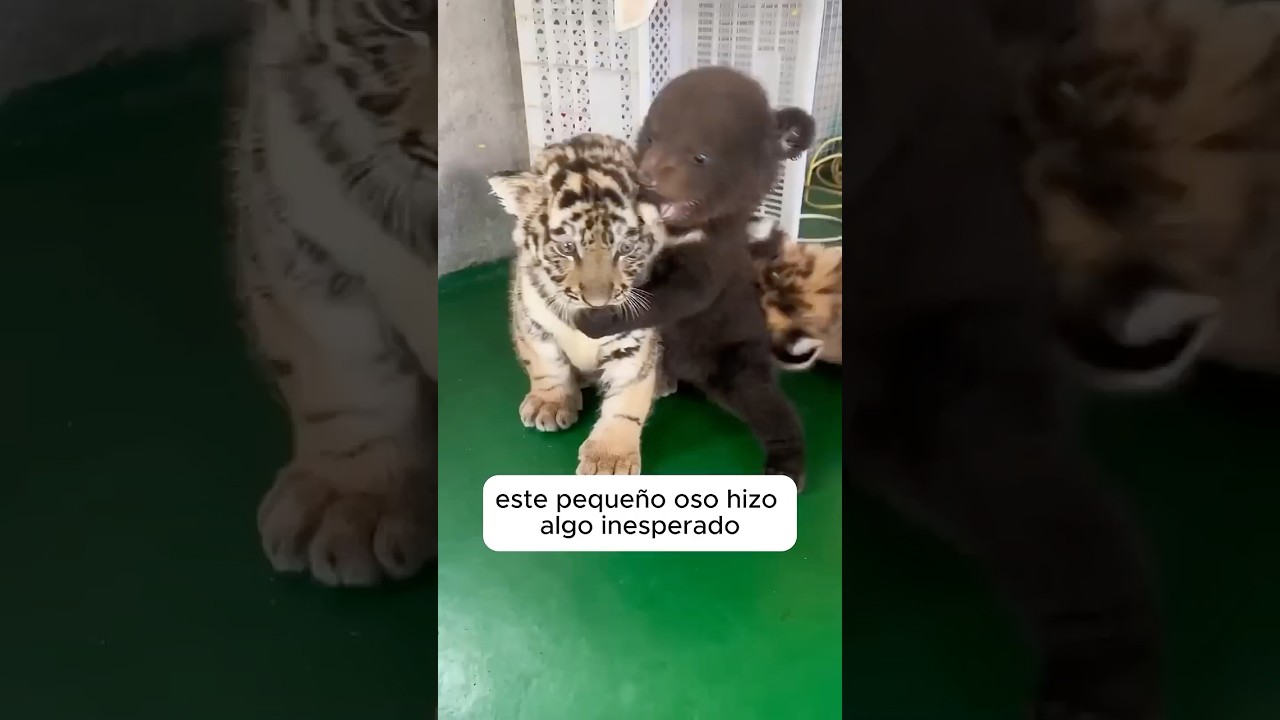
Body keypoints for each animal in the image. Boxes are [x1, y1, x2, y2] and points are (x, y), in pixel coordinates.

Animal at [487, 133, 685, 475]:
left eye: (626, 248)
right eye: (567, 248)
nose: (597, 300)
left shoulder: (634, 344)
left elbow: (626, 399)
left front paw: (610, 458)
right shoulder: (532, 322)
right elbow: (545, 364)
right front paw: (549, 403)